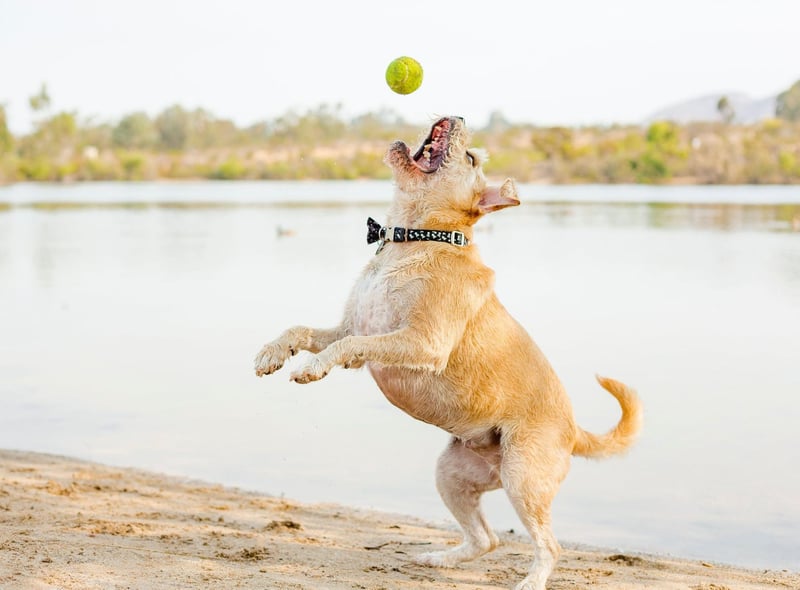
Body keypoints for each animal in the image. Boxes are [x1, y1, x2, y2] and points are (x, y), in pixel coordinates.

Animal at [256, 115, 644, 590]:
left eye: (471, 158)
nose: (458, 117)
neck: (413, 238)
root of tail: (574, 430)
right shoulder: (351, 325)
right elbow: (303, 330)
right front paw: (272, 354)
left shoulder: (422, 341)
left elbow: (349, 346)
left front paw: (311, 367)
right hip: (453, 476)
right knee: (486, 540)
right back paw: (438, 559)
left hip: (523, 479)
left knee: (550, 546)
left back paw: (531, 581)